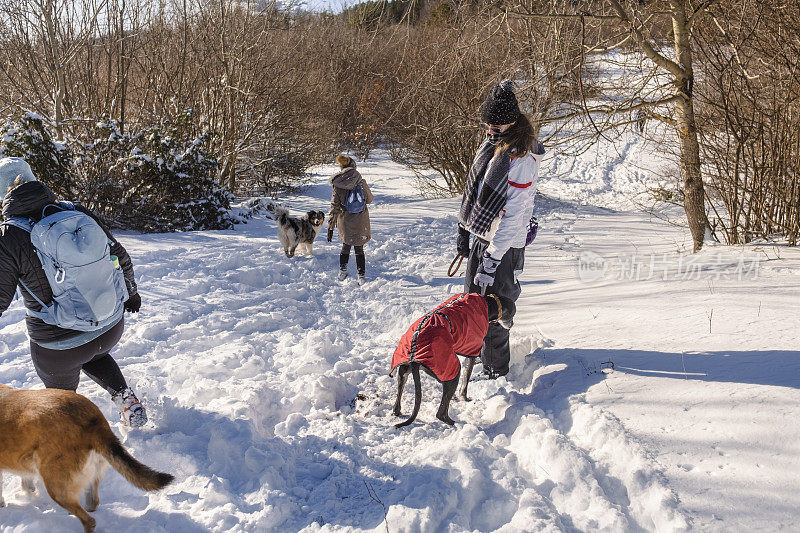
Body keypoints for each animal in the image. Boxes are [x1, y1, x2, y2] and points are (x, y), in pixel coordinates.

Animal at [0, 384, 173, 528]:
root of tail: (94, 422)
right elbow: (26, 481)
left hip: (56, 486)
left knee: (89, 520)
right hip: (88, 474)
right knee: (93, 504)